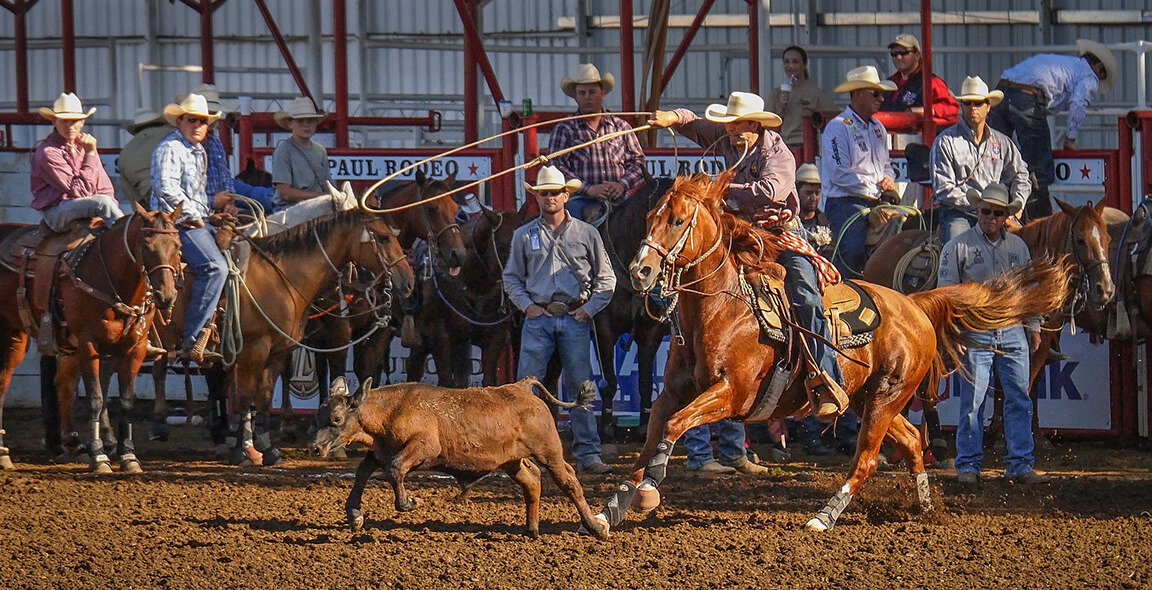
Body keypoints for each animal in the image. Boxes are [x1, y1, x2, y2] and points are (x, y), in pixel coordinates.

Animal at [0, 205, 180, 472]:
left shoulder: (134, 349)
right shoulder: (88, 345)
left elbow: (125, 401)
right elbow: (96, 398)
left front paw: (128, 455)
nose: (166, 296)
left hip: (16, 333)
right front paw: (99, 455)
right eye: (147, 245)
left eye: (177, 245)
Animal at [306, 377, 612, 539]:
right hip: (511, 461)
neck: (390, 411)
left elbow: (394, 470)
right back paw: (531, 529)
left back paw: (596, 527)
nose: (316, 448)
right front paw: (355, 516)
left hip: (550, 452)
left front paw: (409, 503)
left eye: (336, 418)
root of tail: (521, 387)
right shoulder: (379, 452)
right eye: (318, 415)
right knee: (532, 481)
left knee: (569, 482)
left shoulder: (424, 447)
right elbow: (362, 473)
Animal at [594, 171, 1069, 534]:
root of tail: (914, 304)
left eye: (677, 220)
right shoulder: (673, 393)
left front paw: (649, 491)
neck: (723, 310)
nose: (640, 271)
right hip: (868, 398)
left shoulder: (731, 394)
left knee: (867, 460)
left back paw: (824, 518)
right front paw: (611, 509)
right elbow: (652, 437)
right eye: (649, 218)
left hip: (885, 398)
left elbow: (674, 427)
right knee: (912, 441)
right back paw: (925, 508)